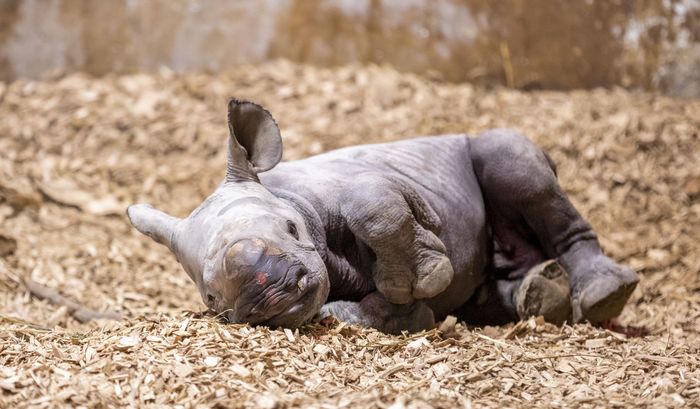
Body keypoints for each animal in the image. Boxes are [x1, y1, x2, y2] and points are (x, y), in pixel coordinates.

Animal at [127, 100, 640, 334]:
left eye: (292, 229)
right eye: (212, 298)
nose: (270, 291)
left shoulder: (382, 184)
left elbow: (371, 205)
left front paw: (427, 276)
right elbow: (348, 311)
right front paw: (410, 311)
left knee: (511, 159)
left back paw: (604, 296)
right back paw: (541, 296)